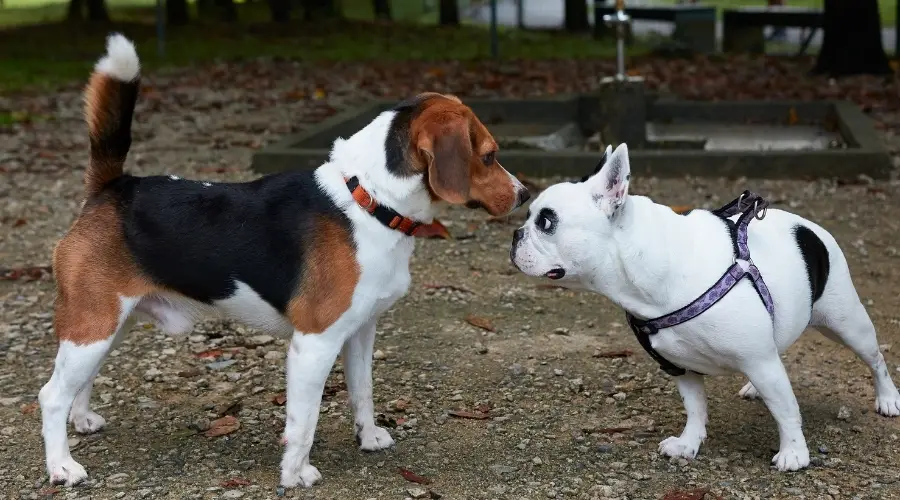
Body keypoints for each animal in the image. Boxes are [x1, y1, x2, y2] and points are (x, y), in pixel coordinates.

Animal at [42, 35, 532, 488]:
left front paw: (369, 436)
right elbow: (304, 420)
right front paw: (296, 474)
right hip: (92, 325)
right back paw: (62, 466)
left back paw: (81, 421)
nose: (525, 194)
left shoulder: (361, 331)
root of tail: (112, 187)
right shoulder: (314, 343)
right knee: (51, 395)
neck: (370, 200)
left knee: (79, 384)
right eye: (489, 155)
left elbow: (363, 390)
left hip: (108, 326)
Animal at [512, 143, 900, 470]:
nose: (515, 234)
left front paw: (794, 452)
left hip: (846, 323)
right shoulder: (679, 366)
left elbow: (786, 409)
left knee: (875, 359)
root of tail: (810, 227)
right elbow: (695, 407)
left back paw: (888, 399)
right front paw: (689, 443)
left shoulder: (759, 360)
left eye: (546, 222)